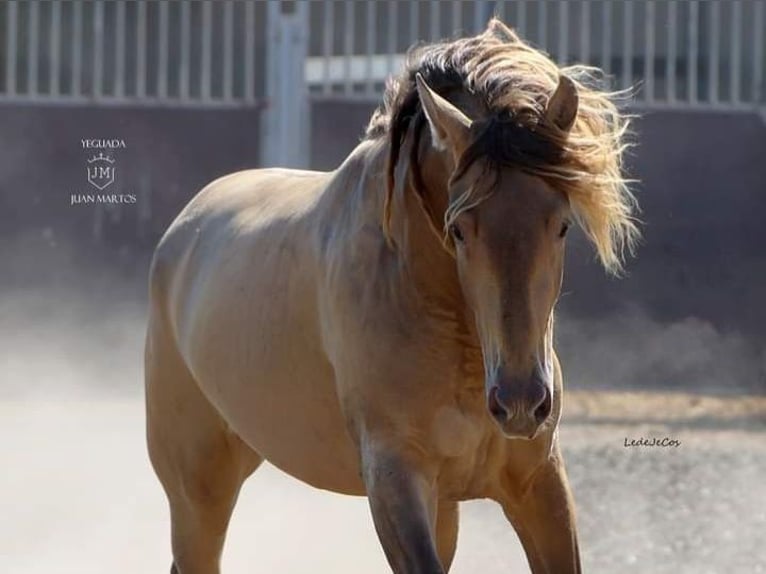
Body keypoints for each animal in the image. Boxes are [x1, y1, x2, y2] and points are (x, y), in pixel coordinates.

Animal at [147, 18, 640, 574]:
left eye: (561, 225)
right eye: (459, 228)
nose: (519, 403)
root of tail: (186, 226)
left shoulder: (538, 481)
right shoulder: (395, 478)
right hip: (199, 485)